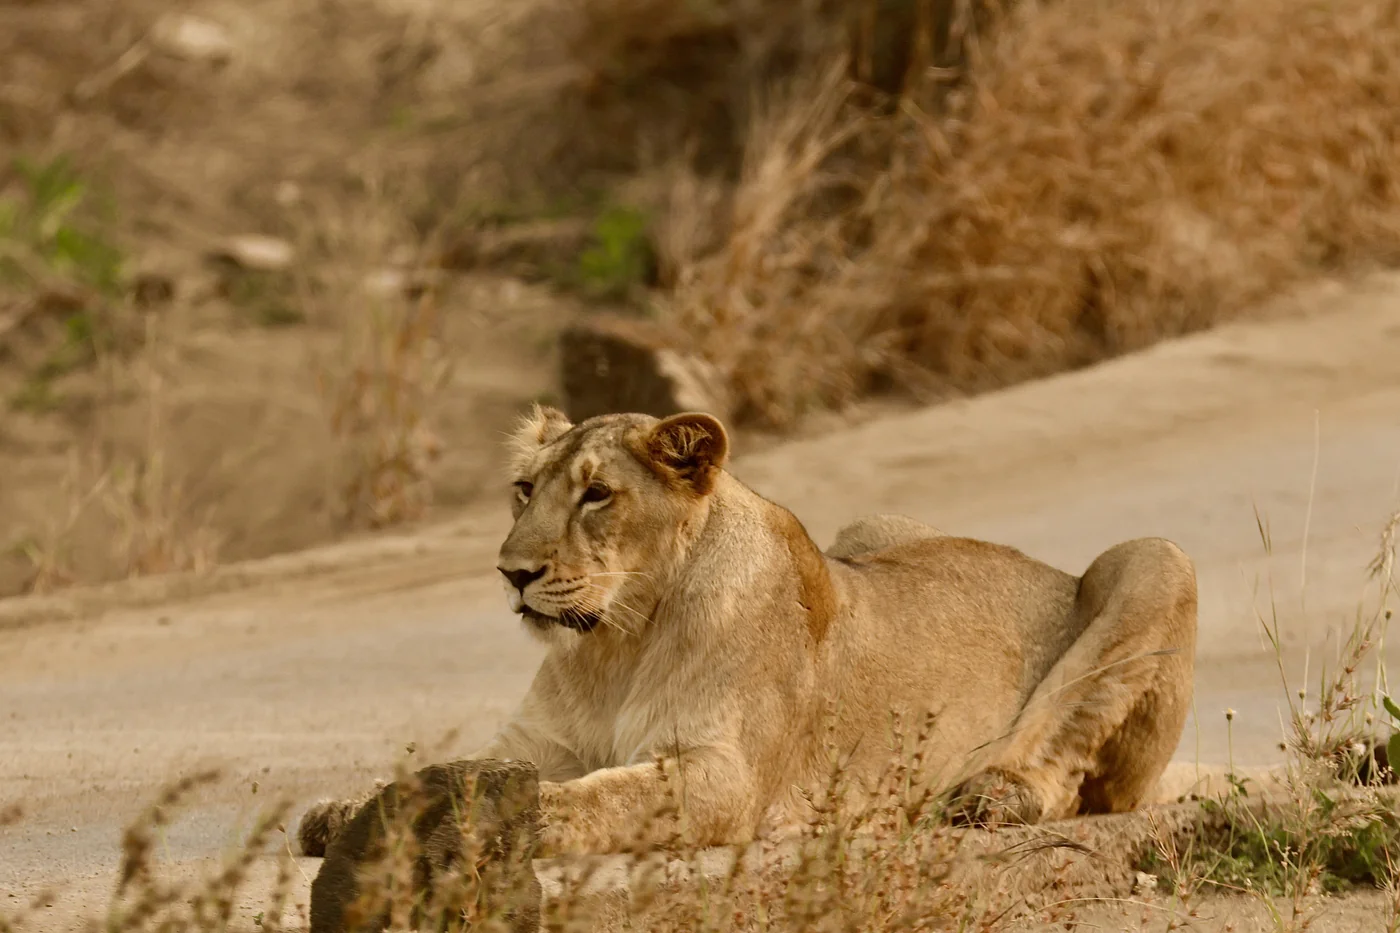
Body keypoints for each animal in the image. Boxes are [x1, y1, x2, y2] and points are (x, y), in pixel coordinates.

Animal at [300, 406, 1198, 859]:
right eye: (524, 488)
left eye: (597, 495)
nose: (512, 572)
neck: (613, 645)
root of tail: (1043, 566)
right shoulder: (536, 743)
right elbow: (462, 769)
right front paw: (355, 806)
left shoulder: (721, 772)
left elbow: (602, 795)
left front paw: (473, 823)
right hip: (870, 529)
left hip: (1156, 557)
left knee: (1078, 775)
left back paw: (989, 793)